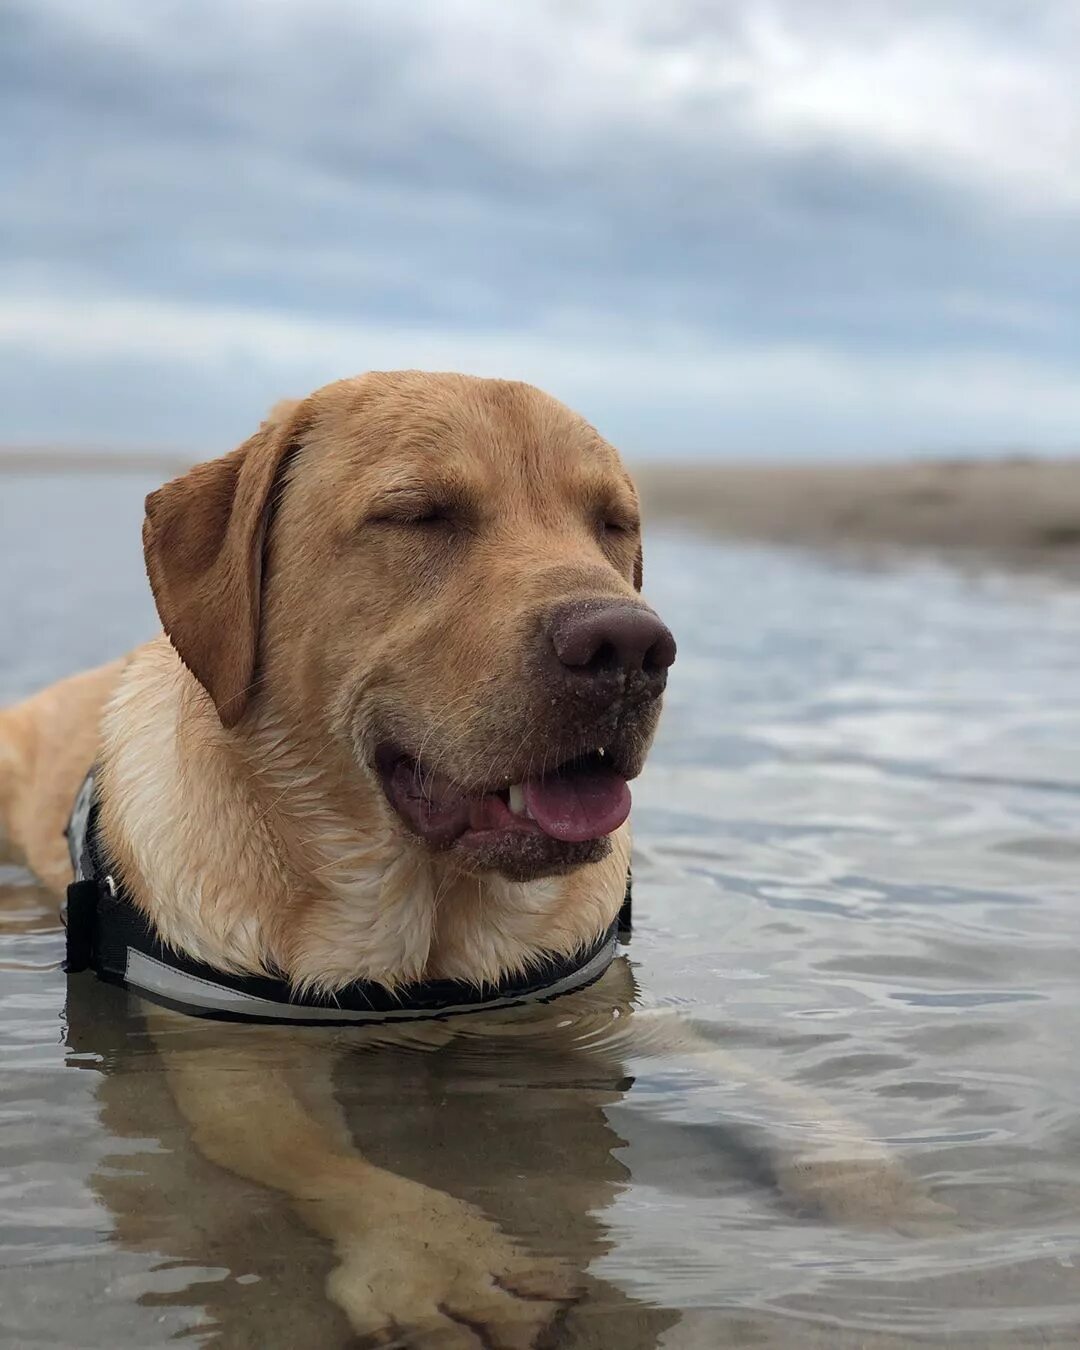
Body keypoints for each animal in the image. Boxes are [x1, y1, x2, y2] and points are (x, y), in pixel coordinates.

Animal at [0, 372, 945, 1350]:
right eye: (420, 514)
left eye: (612, 524)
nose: (629, 647)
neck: (432, 936)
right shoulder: (222, 1051)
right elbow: (306, 1151)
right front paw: (434, 1254)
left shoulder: (600, 1000)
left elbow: (758, 1080)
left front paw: (866, 1178)